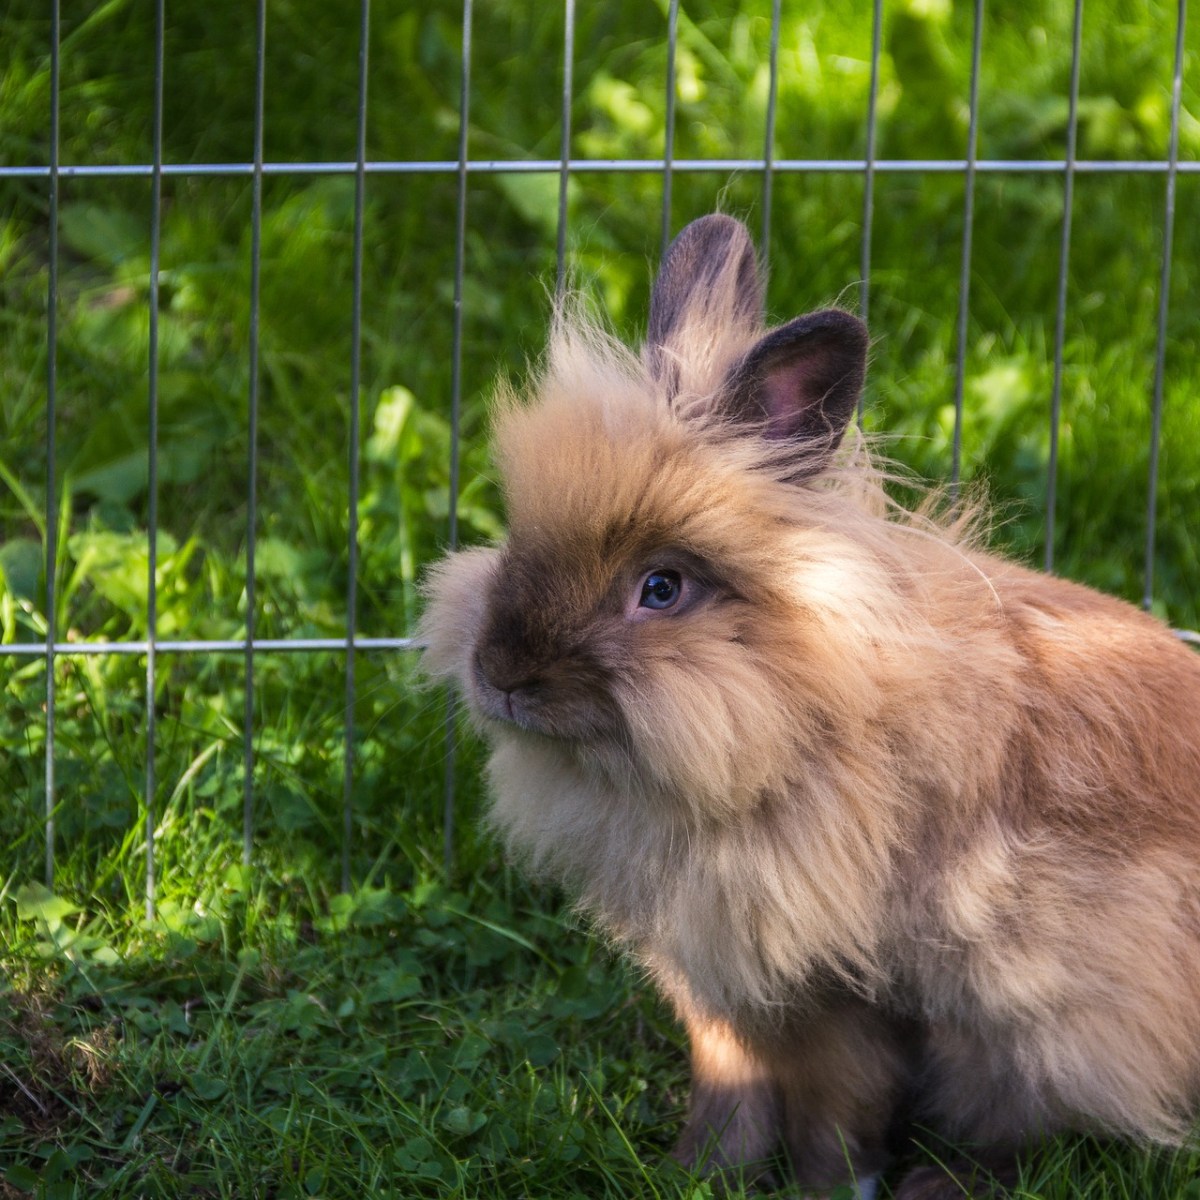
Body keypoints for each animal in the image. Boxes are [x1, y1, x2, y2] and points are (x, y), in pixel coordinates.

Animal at [418, 213, 1200, 1199]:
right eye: (518, 537)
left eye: (662, 589)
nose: (502, 673)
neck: (794, 715)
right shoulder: (720, 992)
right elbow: (730, 1085)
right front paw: (698, 1172)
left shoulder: (836, 992)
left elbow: (839, 1105)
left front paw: (835, 1186)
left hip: (1055, 1011)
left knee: (1023, 1118)